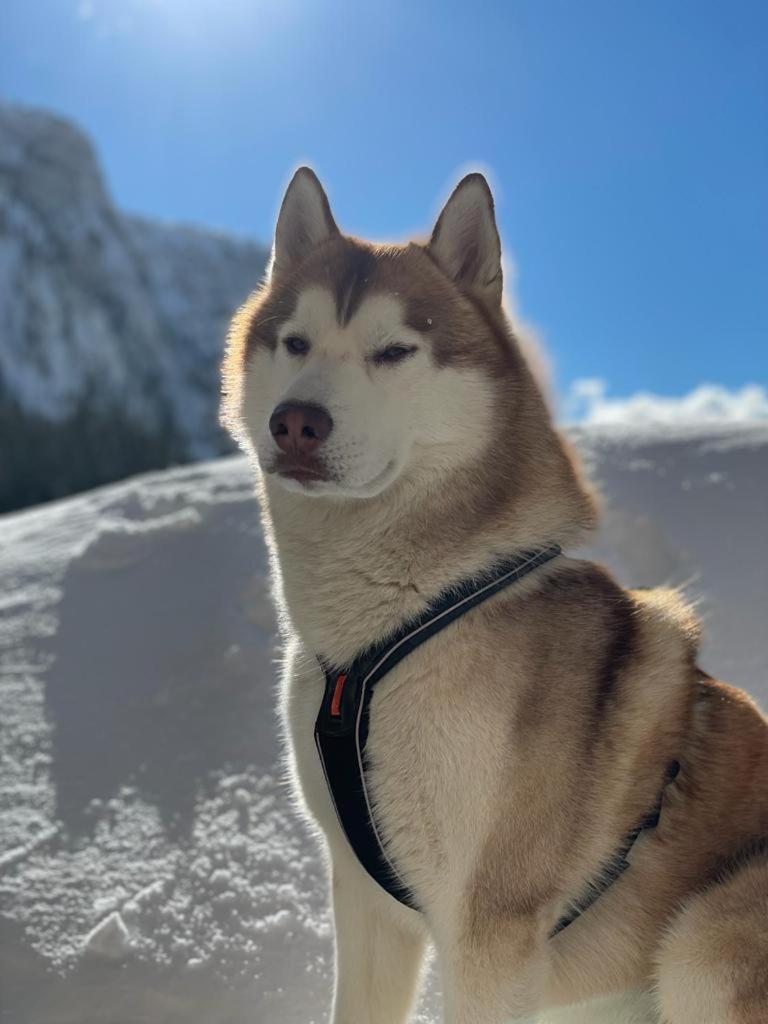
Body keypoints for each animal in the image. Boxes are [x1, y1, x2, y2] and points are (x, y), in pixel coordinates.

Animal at [222, 169, 768, 1024]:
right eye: (296, 343)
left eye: (395, 351)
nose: (296, 423)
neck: (391, 632)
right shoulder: (365, 899)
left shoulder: (490, 927)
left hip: (703, 940)